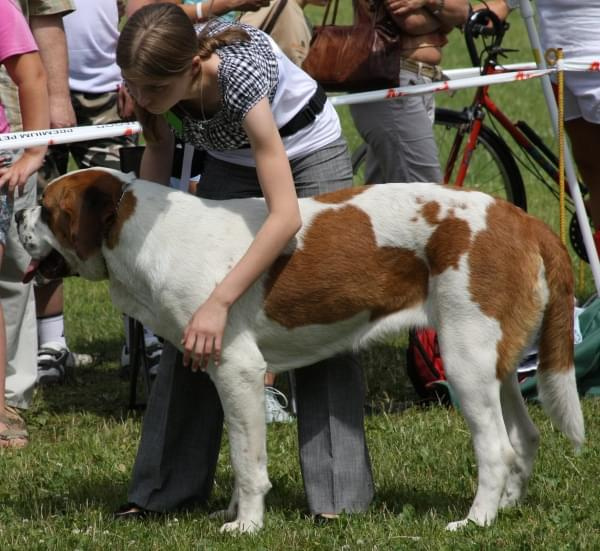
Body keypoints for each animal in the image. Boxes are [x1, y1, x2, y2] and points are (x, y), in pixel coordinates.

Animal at [16, 168, 584, 536]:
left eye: (48, 208)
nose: (17, 212)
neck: (141, 234)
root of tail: (519, 218)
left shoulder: (237, 369)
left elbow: (247, 462)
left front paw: (246, 526)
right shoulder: (224, 376)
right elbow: (240, 447)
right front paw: (231, 513)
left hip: (464, 359)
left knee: (497, 447)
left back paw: (475, 521)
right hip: (494, 362)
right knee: (525, 436)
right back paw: (507, 507)